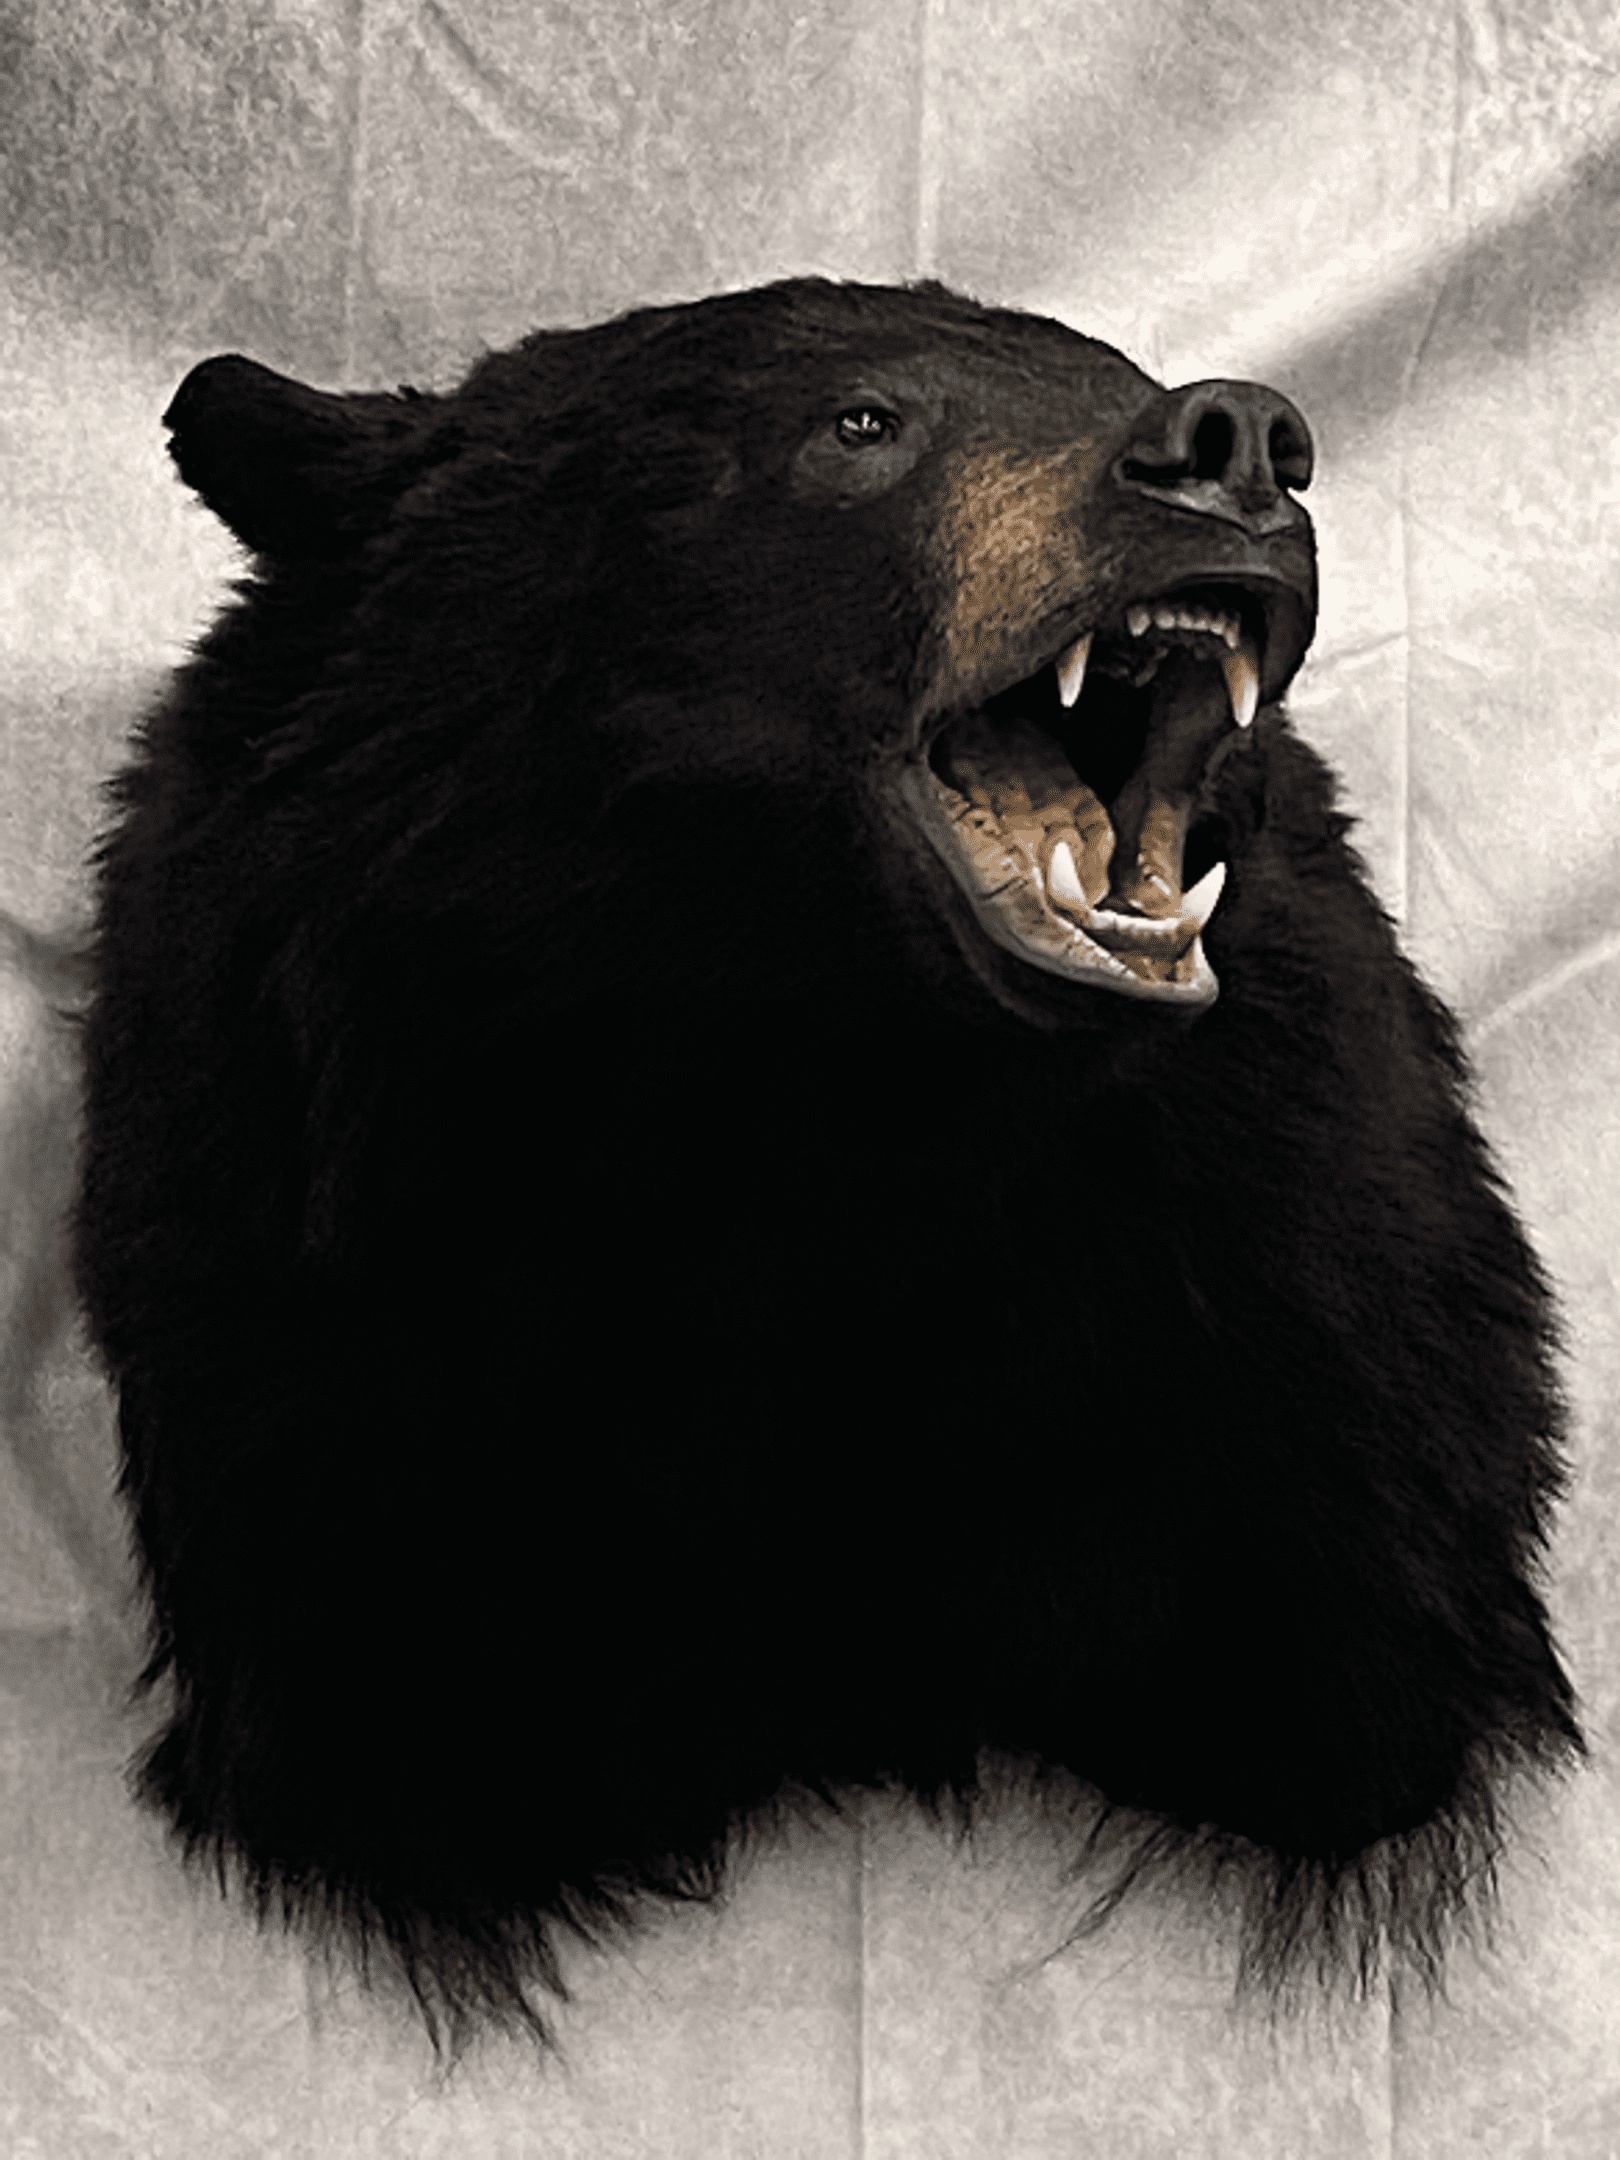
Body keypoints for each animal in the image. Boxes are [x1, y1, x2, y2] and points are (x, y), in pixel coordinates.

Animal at [73, 278, 1582, 2052]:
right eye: (862, 423)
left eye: (1119, 370)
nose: (1241, 439)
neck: (826, 1080)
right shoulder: (339, 1288)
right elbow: (427, 1688)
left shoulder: (1283, 1266)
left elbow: (1342, 1596)